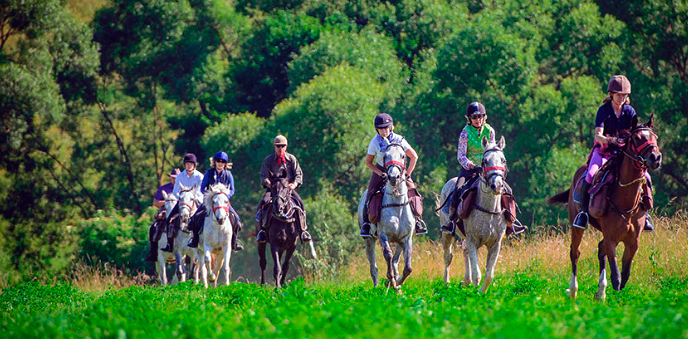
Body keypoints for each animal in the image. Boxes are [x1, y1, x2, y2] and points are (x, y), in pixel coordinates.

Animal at [438, 135, 508, 292]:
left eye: (503, 160)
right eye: (485, 161)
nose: (497, 185)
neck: (489, 211)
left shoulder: (495, 244)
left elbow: (489, 275)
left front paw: (482, 292)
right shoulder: (473, 240)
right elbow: (478, 274)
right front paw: (476, 294)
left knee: (464, 251)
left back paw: (466, 281)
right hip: (447, 234)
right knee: (448, 256)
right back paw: (446, 283)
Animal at [548, 115, 660, 302]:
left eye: (655, 137)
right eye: (637, 138)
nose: (656, 157)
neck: (626, 202)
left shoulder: (633, 241)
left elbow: (625, 275)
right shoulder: (611, 238)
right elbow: (616, 275)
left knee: (600, 250)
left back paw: (600, 292)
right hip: (576, 225)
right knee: (575, 252)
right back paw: (573, 290)